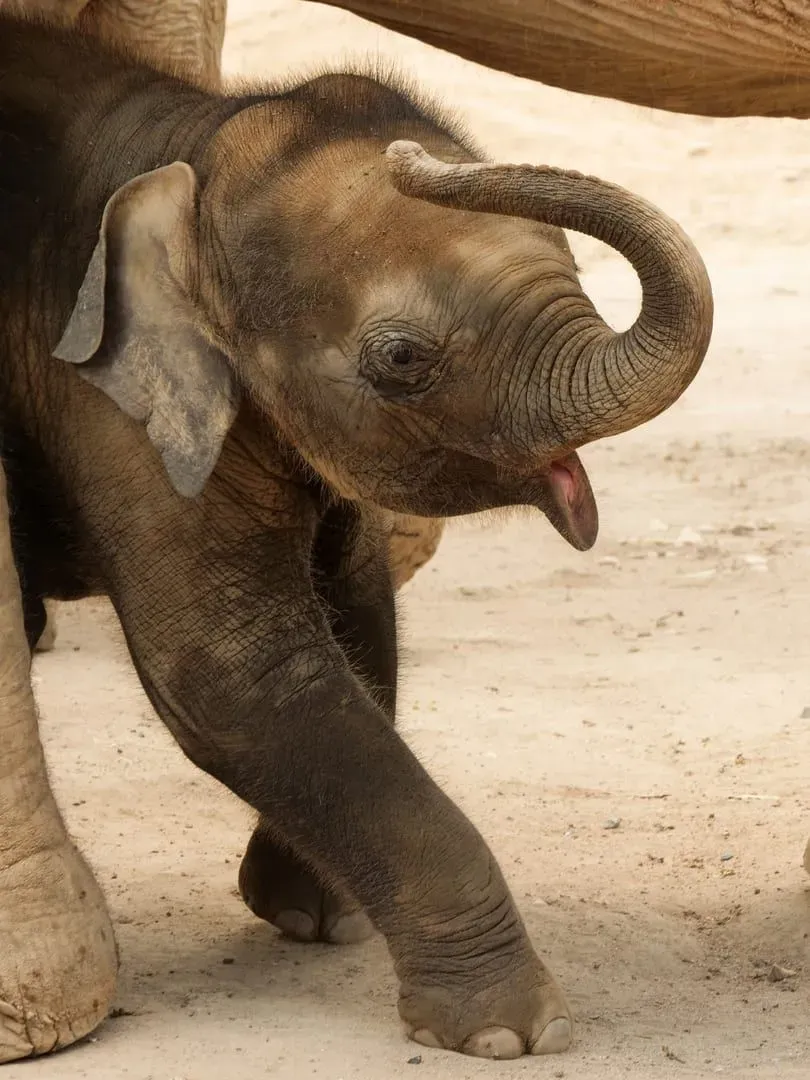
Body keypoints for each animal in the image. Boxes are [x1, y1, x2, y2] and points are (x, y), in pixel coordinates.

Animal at [0, 11, 712, 1062]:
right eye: (401, 357)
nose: (414, 160)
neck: (194, 143)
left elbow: (357, 601)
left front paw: (316, 917)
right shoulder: (101, 391)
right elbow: (231, 667)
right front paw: (512, 1034)